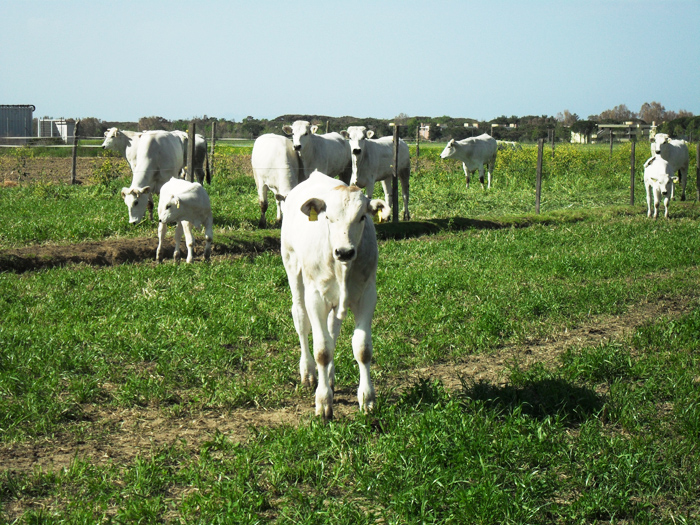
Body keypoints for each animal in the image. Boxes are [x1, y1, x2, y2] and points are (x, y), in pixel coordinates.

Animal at [280, 171, 392, 418]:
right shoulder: (315, 298)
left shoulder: (367, 295)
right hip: (293, 267)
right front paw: (323, 402)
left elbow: (362, 348)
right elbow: (322, 350)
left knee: (333, 330)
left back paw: (329, 378)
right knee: (301, 320)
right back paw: (308, 373)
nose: (344, 251)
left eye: (362, 217)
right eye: (328, 217)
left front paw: (367, 398)